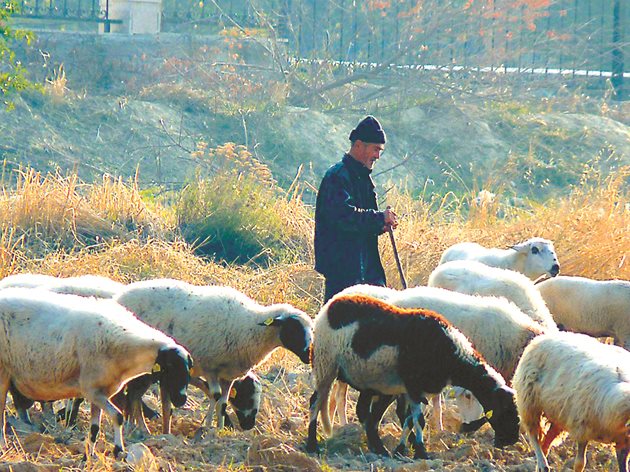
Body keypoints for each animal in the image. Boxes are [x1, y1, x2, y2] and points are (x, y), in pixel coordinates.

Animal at [0, 288, 194, 458]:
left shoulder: (100, 391)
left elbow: (95, 428)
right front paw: (118, 450)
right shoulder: (91, 390)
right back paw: (3, 442)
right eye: (169, 367)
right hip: (2, 372)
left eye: (188, 368)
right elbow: (118, 416)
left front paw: (89, 455)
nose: (181, 399)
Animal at [114, 276, 316, 436]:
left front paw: (219, 429)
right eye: (294, 329)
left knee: (134, 393)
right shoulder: (210, 368)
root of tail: (120, 296)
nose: (308, 357)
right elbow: (215, 396)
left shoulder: (229, 375)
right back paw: (136, 426)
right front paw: (207, 427)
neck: (249, 327)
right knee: (132, 393)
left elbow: (223, 403)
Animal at [512, 332, 630, 472]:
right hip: (529, 402)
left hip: (558, 415)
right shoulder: (582, 428)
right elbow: (580, 463)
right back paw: (542, 463)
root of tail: (543, 336)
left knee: (546, 442)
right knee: (533, 433)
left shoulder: (624, 441)